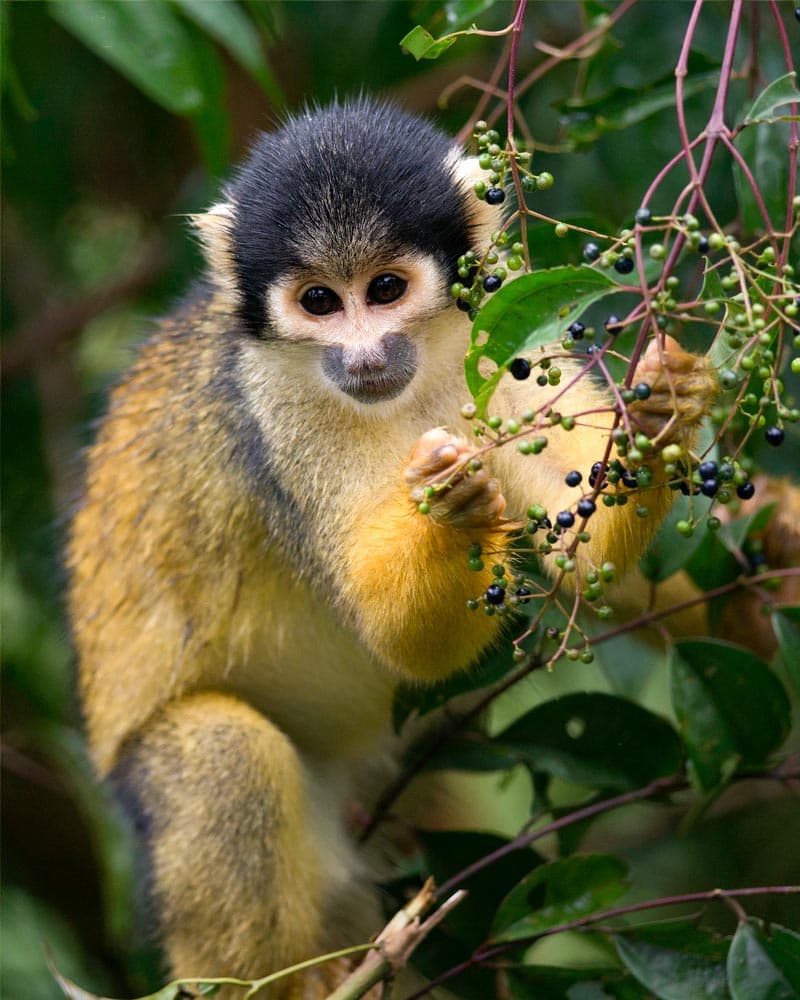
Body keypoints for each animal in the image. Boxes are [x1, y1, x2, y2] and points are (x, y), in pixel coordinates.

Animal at [69, 97, 716, 996]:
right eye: (318, 301)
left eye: (384, 289)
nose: (364, 354)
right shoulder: (275, 412)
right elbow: (400, 641)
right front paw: (452, 513)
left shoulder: (503, 331)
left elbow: (582, 549)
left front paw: (664, 412)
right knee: (224, 754)